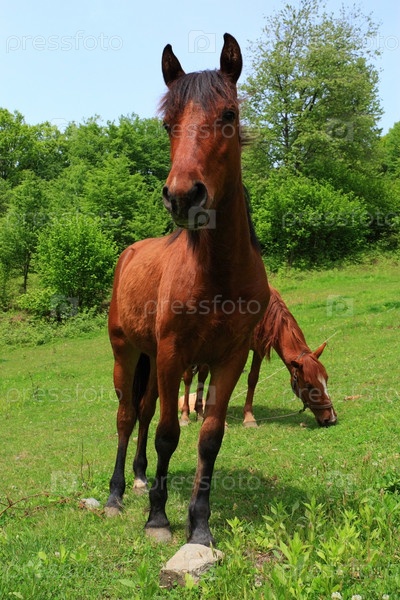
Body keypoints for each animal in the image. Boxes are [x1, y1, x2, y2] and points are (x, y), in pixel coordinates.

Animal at [105, 34, 270, 547]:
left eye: (229, 114)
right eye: (167, 124)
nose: (183, 196)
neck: (216, 276)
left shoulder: (228, 358)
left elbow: (208, 438)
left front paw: (199, 524)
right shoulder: (175, 354)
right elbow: (168, 434)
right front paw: (158, 518)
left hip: (150, 357)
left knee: (141, 412)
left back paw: (140, 477)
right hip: (127, 353)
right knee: (126, 417)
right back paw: (117, 493)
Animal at [179, 286, 337, 428]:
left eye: (326, 379)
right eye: (309, 386)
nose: (331, 418)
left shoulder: (259, 349)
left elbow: (253, 379)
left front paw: (249, 418)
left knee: (202, 376)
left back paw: (200, 413)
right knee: (188, 378)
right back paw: (185, 416)